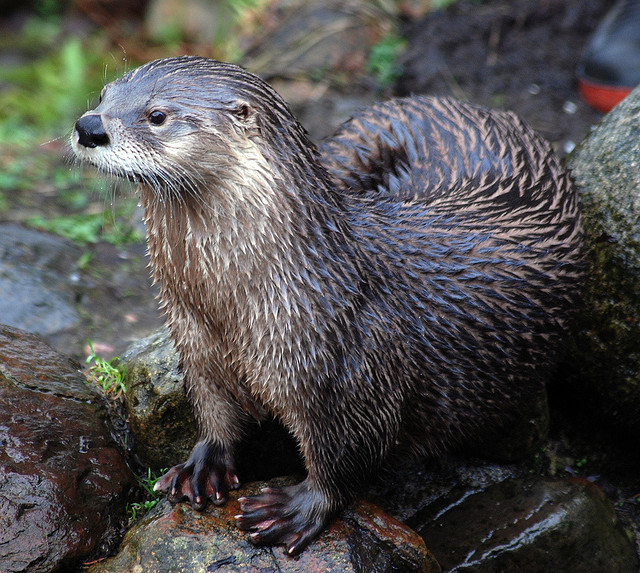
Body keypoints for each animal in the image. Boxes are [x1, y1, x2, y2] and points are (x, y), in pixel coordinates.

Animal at [71, 57, 584, 556]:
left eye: (157, 115)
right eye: (103, 94)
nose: (88, 125)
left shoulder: (348, 362)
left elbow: (354, 448)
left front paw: (298, 507)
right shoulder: (194, 340)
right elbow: (214, 407)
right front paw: (204, 464)